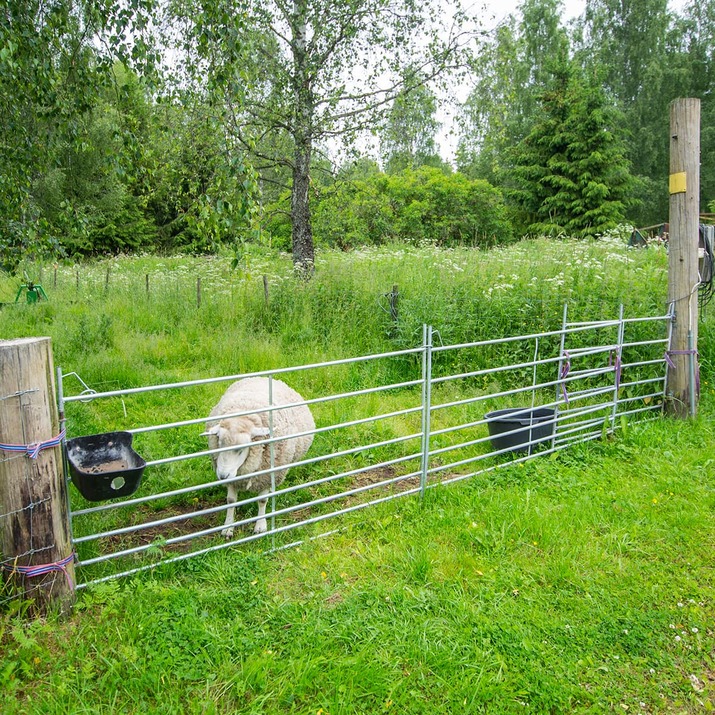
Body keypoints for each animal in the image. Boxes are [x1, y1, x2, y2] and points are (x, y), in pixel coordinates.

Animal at [201, 380, 314, 536]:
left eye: (241, 449)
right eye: (219, 443)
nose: (223, 476)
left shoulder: (266, 475)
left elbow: (262, 501)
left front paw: (260, 526)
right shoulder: (233, 478)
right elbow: (231, 501)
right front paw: (228, 527)